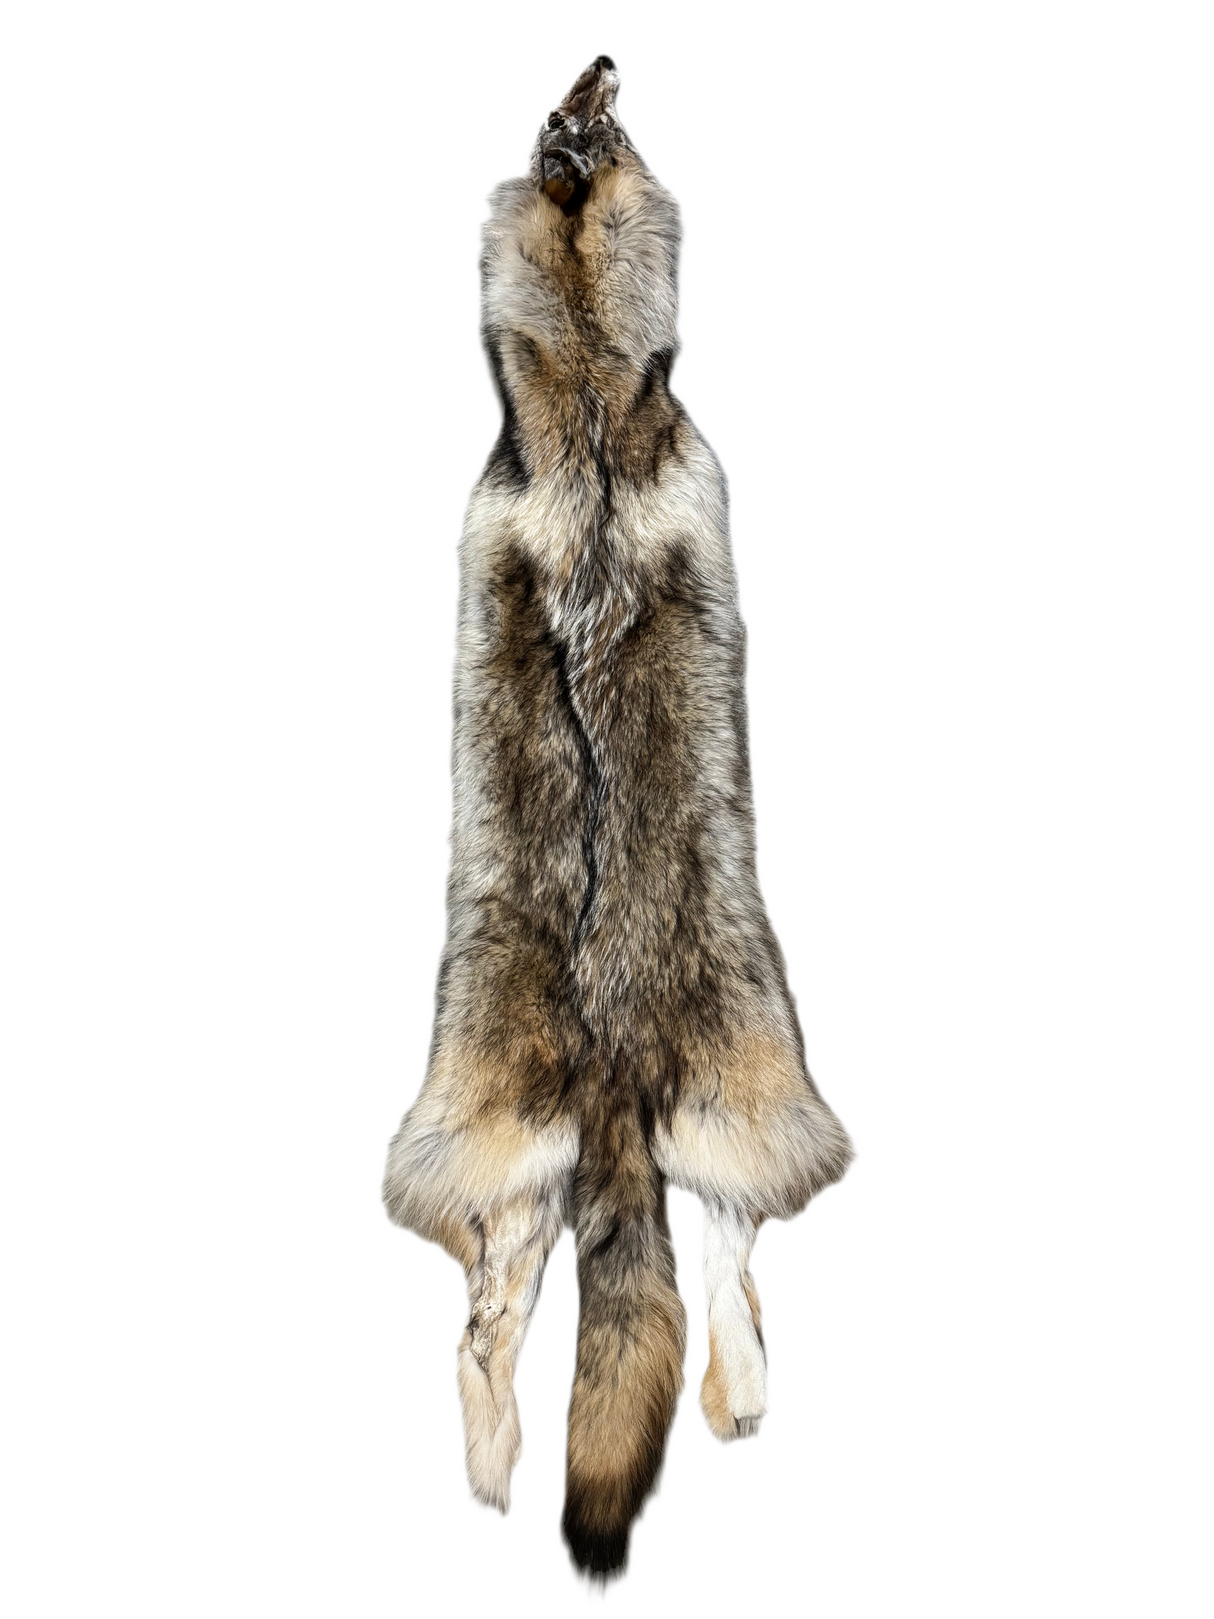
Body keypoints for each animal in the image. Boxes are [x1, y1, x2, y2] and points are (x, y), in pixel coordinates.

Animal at [383, 56, 853, 1578]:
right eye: (570, 123)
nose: (593, 61)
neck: (588, 419)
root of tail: (609, 1072)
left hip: (573, 1164)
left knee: (545, 1316)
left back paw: (531, 1459)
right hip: (696, 1116)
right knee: (709, 1276)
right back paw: (699, 1406)